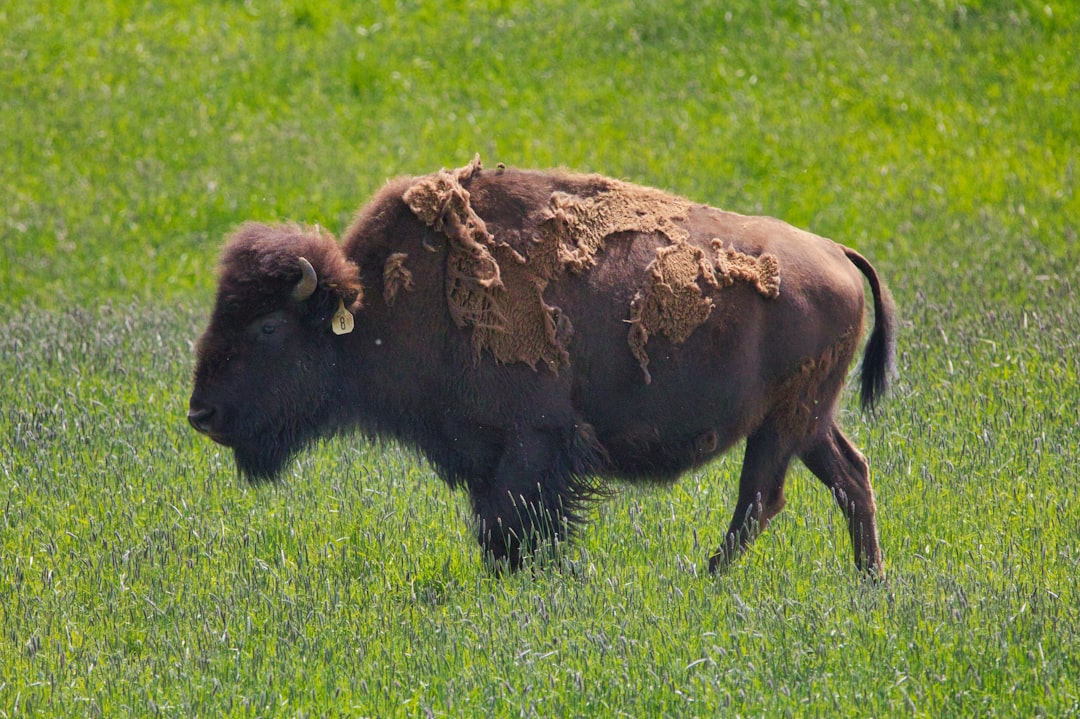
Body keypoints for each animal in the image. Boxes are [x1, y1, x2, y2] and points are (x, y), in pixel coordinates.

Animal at [188, 156, 896, 577]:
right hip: (807, 420)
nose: (201, 412)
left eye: (269, 327)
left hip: (785, 422)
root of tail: (836, 251)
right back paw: (868, 583)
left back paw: (708, 580)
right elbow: (498, 522)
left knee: (762, 498)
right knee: (848, 476)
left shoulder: (533, 440)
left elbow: (516, 521)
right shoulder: (482, 452)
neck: (375, 305)